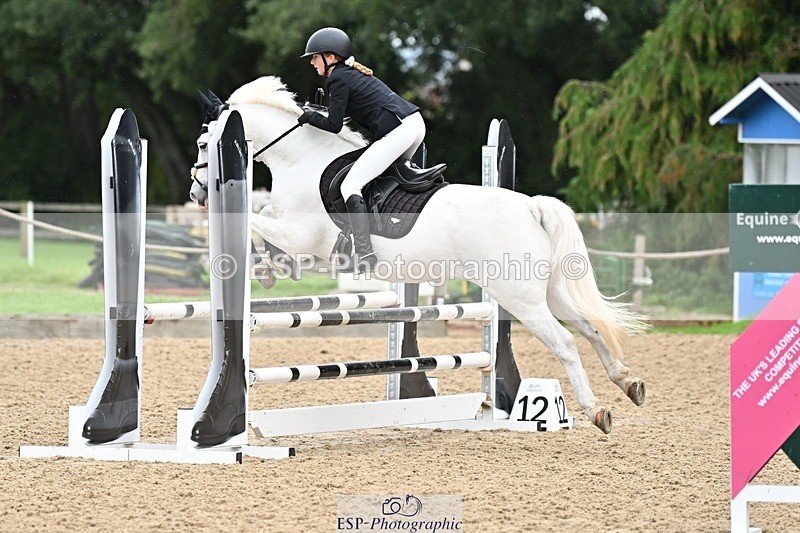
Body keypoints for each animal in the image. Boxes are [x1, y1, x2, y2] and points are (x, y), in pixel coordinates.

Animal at [189, 75, 648, 433]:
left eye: (203, 143)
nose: (197, 194)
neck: (301, 159)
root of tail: (531, 207)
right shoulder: (305, 245)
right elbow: (262, 218)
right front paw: (267, 269)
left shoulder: (303, 238)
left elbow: (256, 221)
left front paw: (265, 270)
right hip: (549, 292)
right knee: (590, 328)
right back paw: (628, 383)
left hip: (520, 298)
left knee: (567, 342)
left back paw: (596, 410)